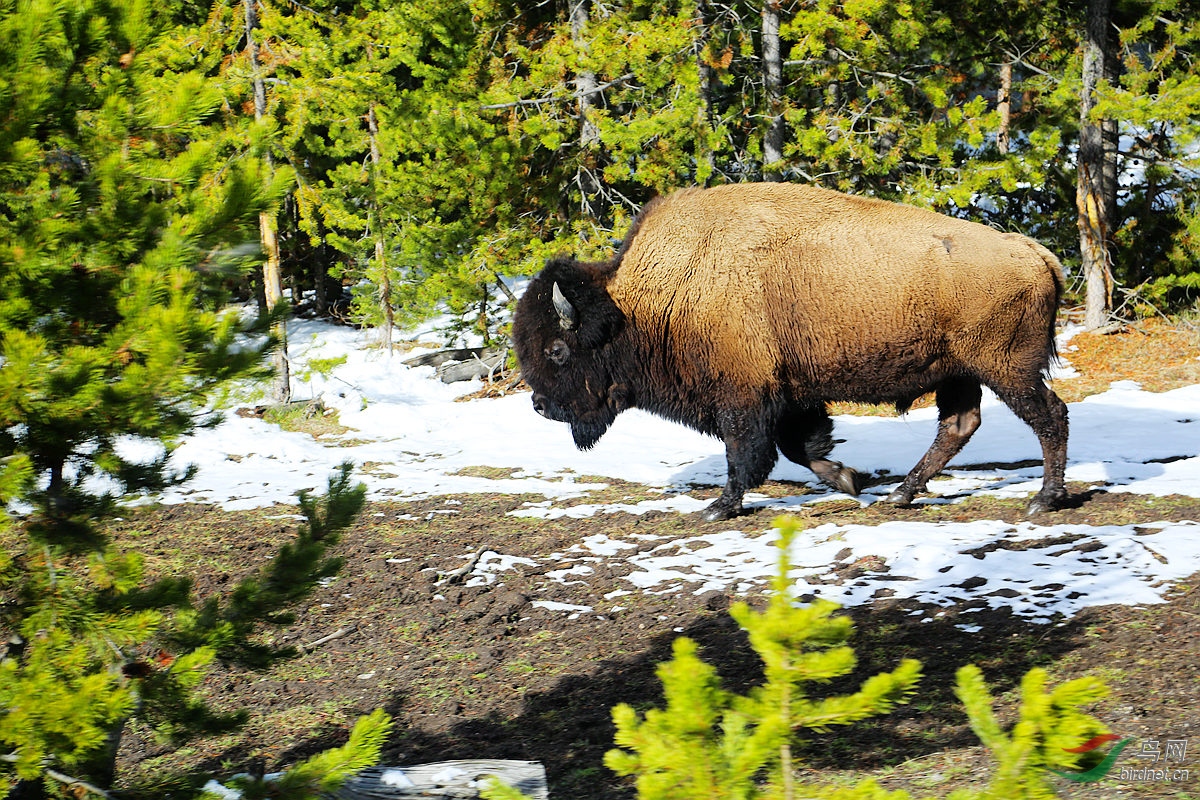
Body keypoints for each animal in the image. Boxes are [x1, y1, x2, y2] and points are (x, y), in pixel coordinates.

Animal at [511, 182, 1065, 522]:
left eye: (557, 350)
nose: (539, 405)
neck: (645, 300)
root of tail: (1032, 250)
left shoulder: (743, 397)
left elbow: (746, 453)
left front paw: (721, 507)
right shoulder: (791, 396)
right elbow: (803, 447)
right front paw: (848, 480)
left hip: (1005, 368)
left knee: (1048, 415)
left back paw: (1045, 499)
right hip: (959, 372)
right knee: (958, 426)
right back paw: (902, 494)